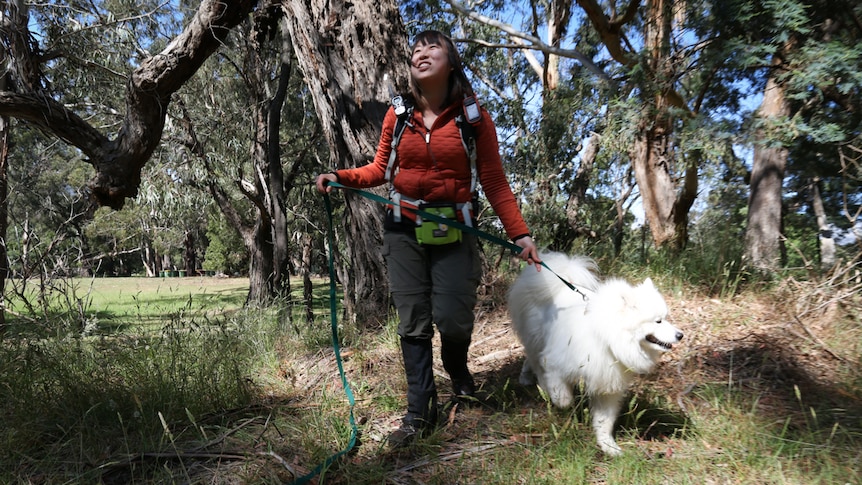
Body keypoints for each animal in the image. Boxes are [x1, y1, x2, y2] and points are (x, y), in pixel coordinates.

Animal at [510, 251, 684, 456]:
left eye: (666, 318)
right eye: (658, 321)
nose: (680, 335)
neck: (607, 340)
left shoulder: (608, 384)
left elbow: (604, 421)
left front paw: (608, 445)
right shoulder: (555, 363)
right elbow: (562, 396)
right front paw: (561, 401)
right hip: (536, 339)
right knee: (535, 361)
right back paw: (534, 382)